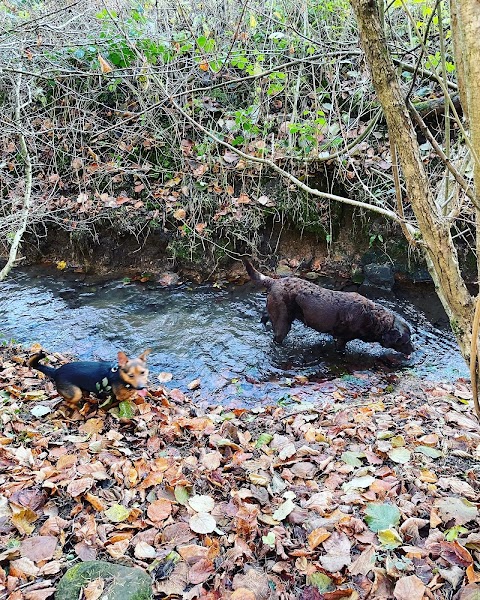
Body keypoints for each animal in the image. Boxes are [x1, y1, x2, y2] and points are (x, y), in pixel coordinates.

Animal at [246, 258, 414, 356]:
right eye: (405, 341)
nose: (413, 350)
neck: (372, 317)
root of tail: (274, 281)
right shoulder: (341, 339)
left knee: (265, 316)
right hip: (283, 323)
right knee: (277, 337)